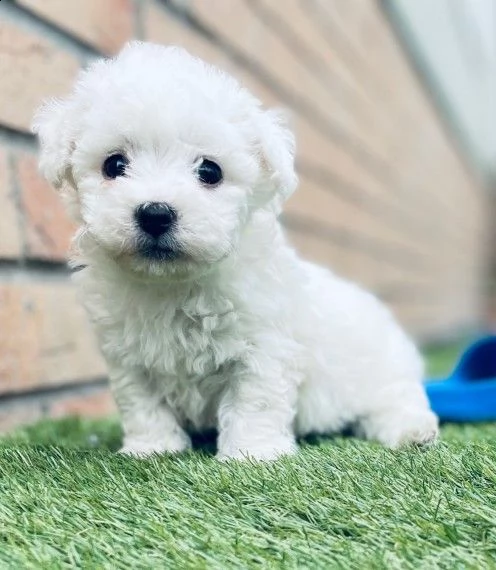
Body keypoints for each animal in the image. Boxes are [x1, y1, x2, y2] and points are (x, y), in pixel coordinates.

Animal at [34, 42, 438, 460]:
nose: (156, 213)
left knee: (395, 399)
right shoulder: (128, 356)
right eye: (114, 164)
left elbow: (254, 401)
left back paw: (412, 430)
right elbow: (142, 404)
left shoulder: (263, 346)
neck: (173, 285)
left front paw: (251, 453)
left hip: (382, 370)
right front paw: (151, 448)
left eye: (210, 171)